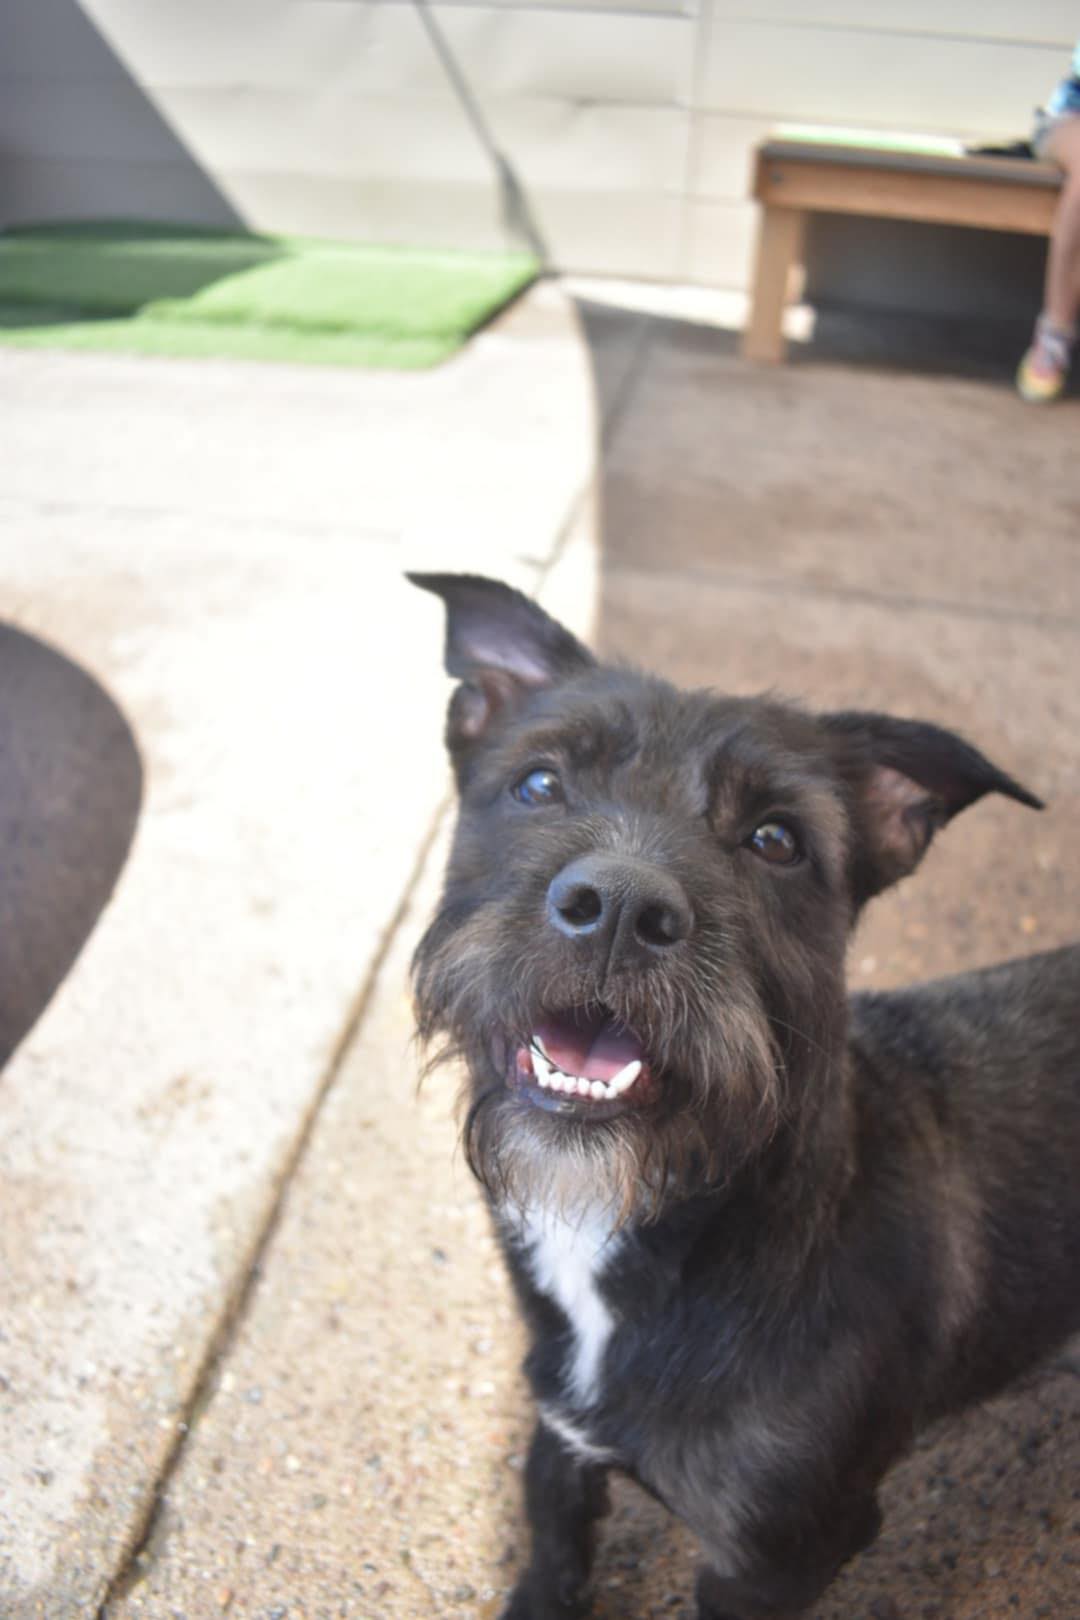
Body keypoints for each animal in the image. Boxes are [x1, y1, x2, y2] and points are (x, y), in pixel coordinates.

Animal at [409, 572, 1080, 1620]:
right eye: (539, 785)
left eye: (776, 840)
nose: (618, 908)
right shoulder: (560, 1437)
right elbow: (553, 1545)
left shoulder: (778, 1550)